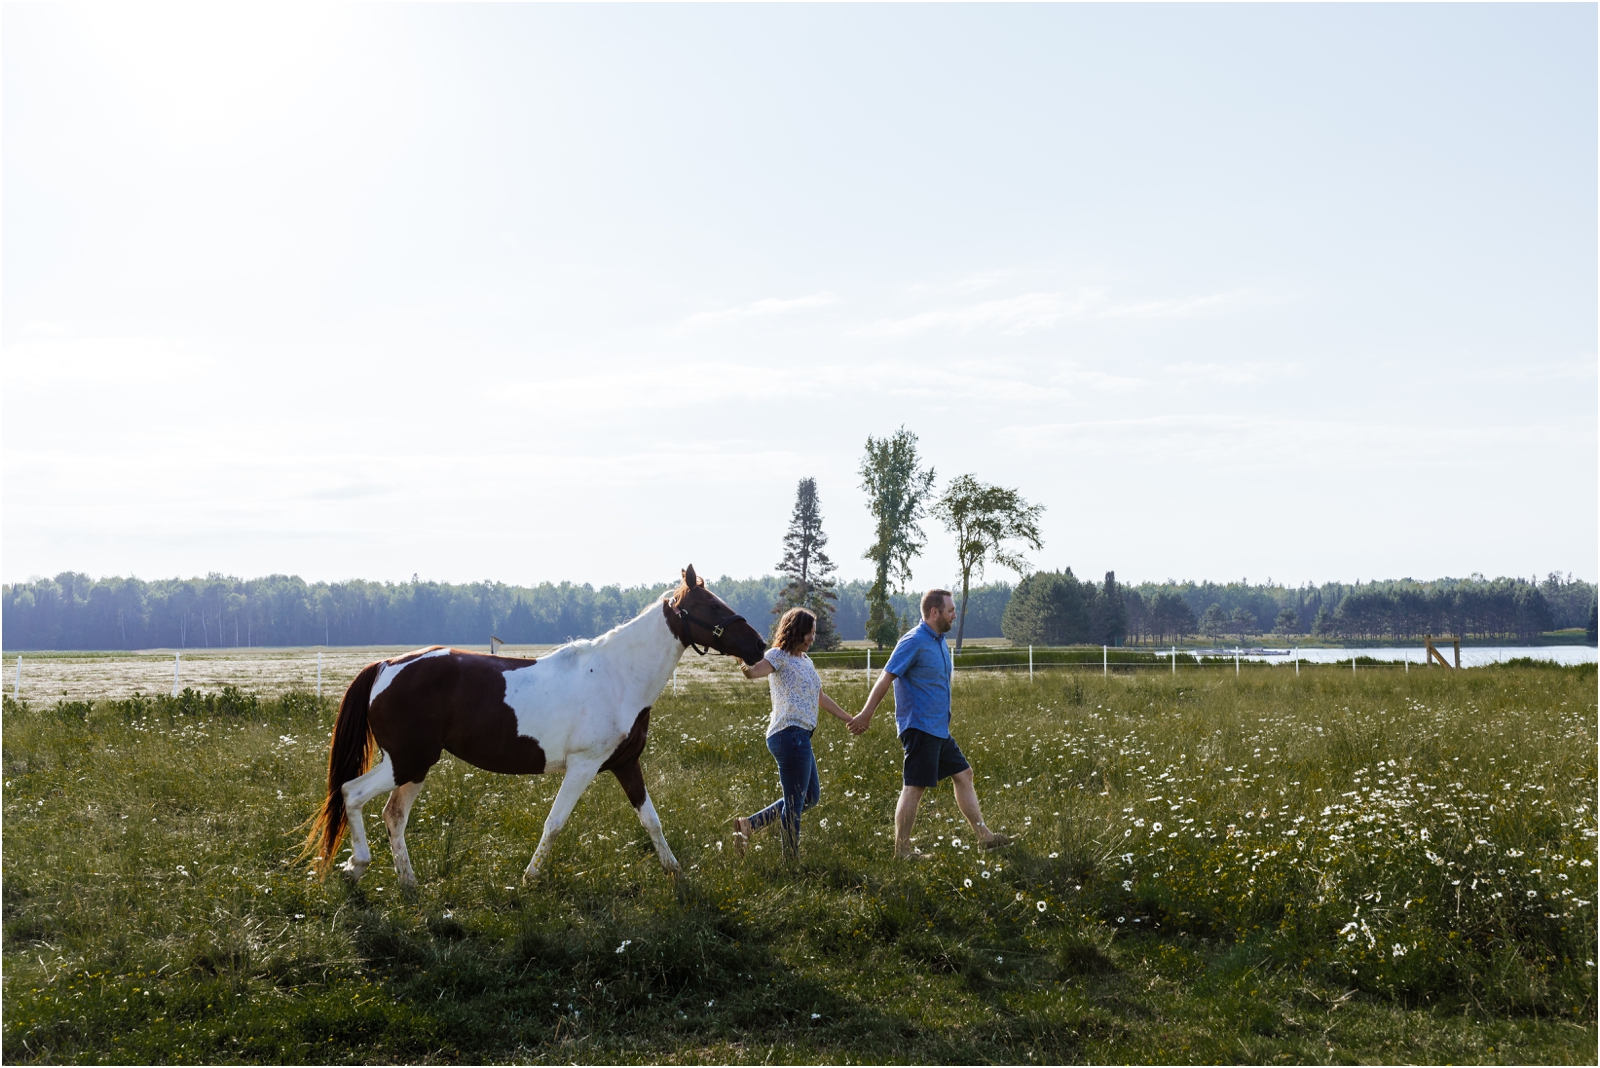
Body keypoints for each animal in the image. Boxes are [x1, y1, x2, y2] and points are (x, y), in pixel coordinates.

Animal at [310, 565, 768, 882]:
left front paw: (674, 871)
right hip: (407, 761)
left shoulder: (625, 764)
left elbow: (650, 820)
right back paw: (357, 867)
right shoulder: (584, 766)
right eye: (712, 606)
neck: (618, 675)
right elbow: (555, 822)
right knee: (352, 793)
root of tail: (386, 665)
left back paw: (408, 884)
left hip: (413, 766)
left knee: (393, 816)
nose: (759, 645)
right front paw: (530, 878)